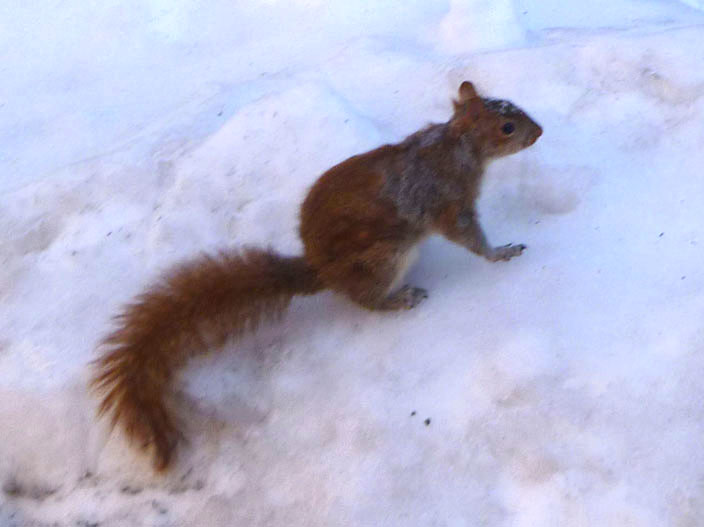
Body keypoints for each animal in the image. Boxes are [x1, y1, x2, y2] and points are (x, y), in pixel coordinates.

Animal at [91, 81, 542, 471]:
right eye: (506, 127)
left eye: (513, 106)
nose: (539, 132)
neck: (455, 148)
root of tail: (320, 270)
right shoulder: (448, 201)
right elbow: (469, 237)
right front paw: (500, 253)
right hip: (383, 258)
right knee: (365, 300)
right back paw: (400, 298)